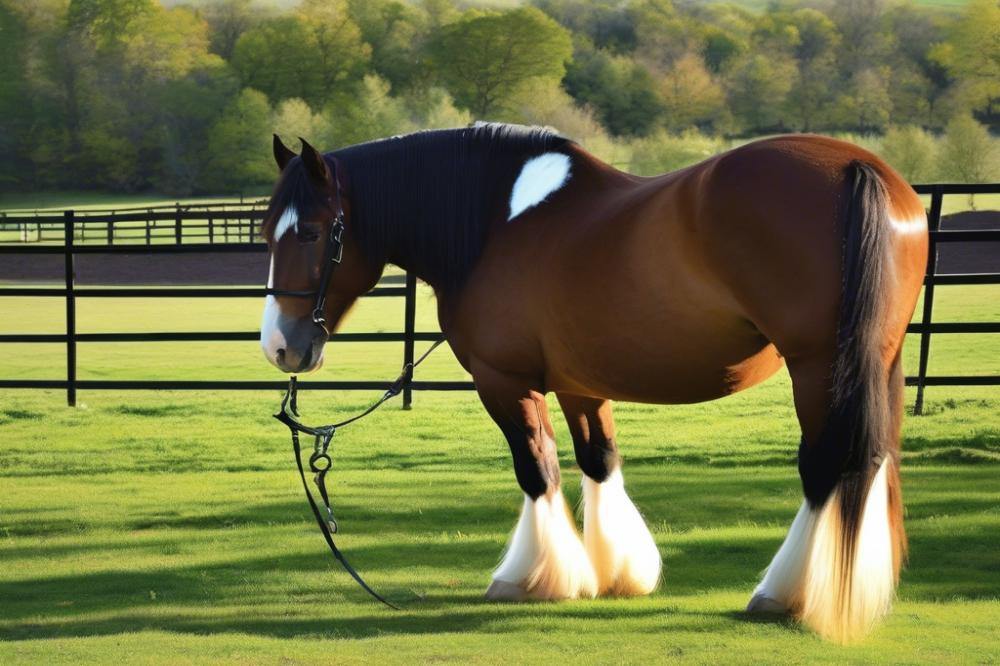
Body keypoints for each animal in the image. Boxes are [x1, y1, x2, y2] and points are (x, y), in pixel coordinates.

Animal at [258, 122, 928, 640]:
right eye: (265, 232)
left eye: (311, 232)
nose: (280, 346)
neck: (492, 223)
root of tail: (857, 168)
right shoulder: (580, 383)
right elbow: (598, 460)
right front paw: (620, 572)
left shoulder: (505, 380)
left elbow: (538, 468)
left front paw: (533, 577)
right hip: (878, 359)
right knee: (874, 458)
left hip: (817, 364)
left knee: (827, 466)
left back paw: (786, 594)